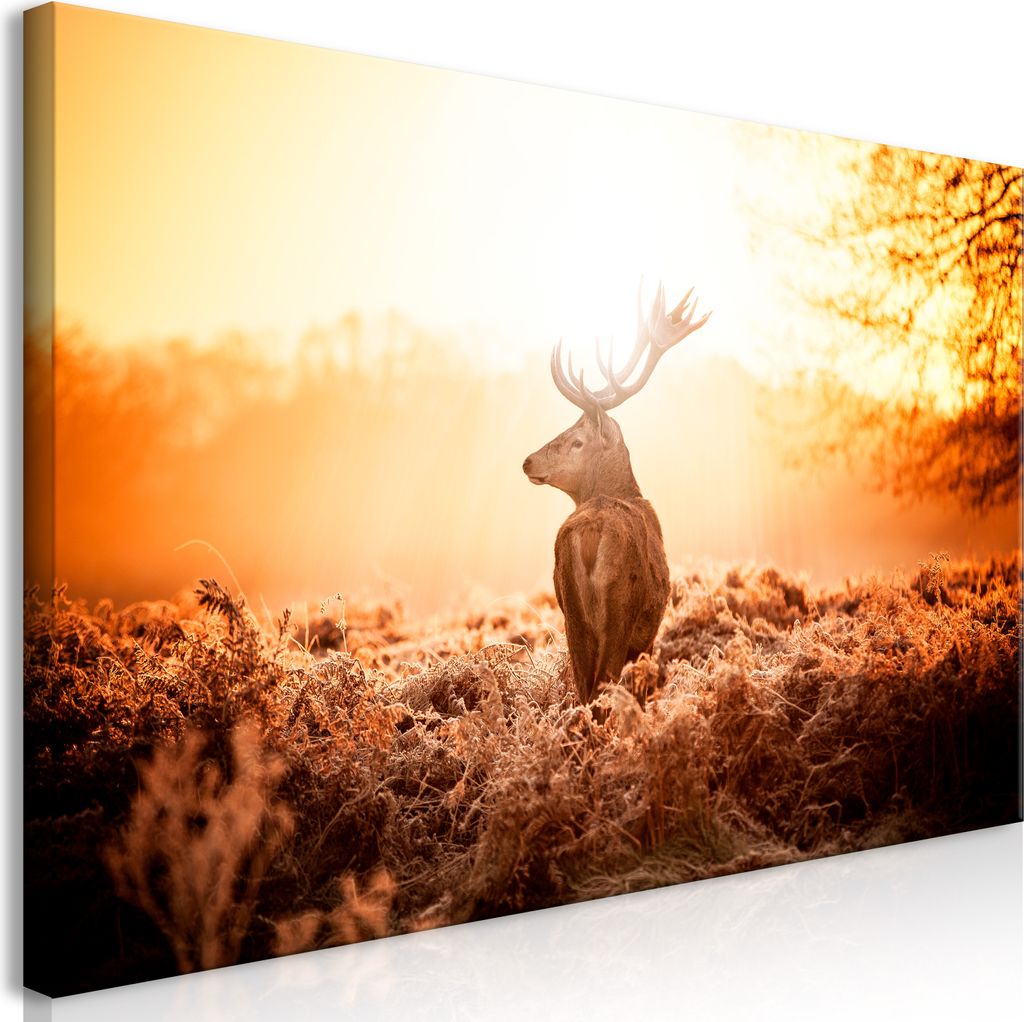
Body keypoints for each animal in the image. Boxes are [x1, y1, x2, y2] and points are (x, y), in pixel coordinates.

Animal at [522, 283, 711, 708]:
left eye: (576, 440)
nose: (527, 461)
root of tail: (591, 533)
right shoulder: (647, 635)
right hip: (619, 612)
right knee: (602, 690)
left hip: (572, 614)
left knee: (583, 690)